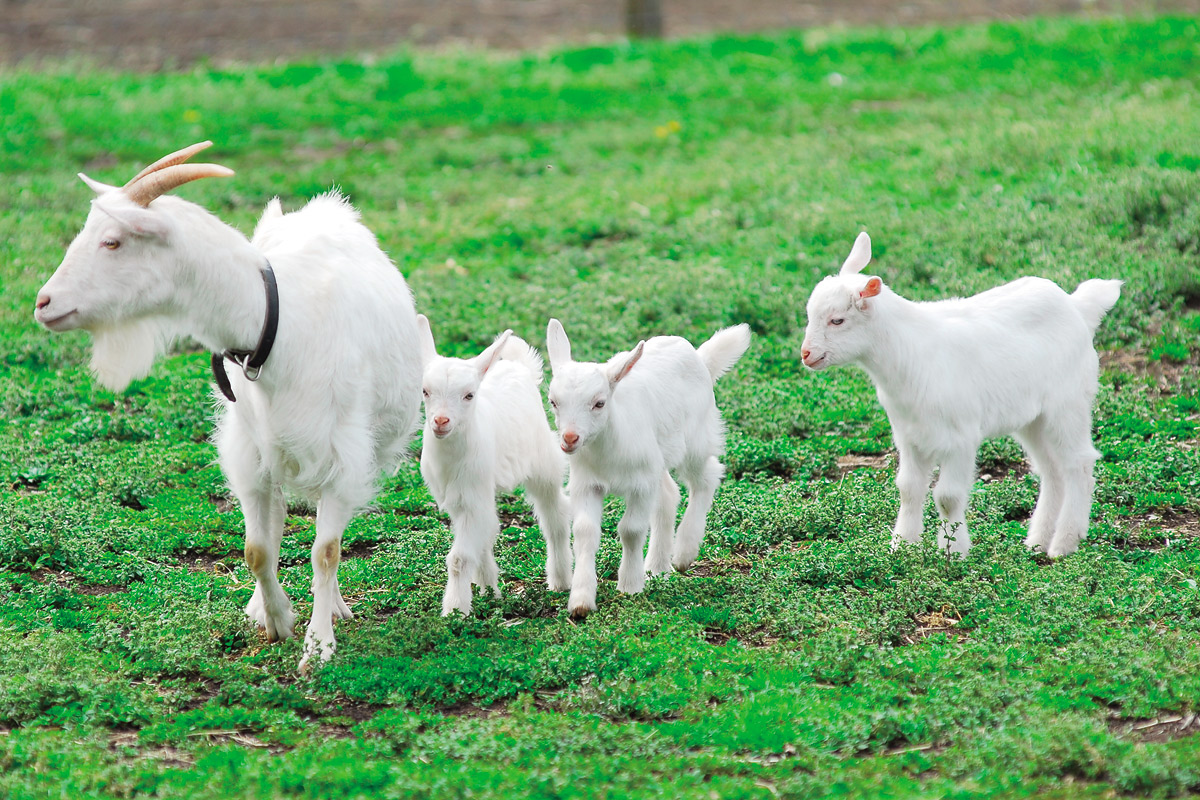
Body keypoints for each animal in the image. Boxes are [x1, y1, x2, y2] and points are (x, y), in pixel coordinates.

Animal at [34, 142, 422, 671]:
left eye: (112, 242)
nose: (44, 302)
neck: (275, 326)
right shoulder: (248, 451)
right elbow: (257, 548)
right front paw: (278, 619)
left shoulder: (343, 454)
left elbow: (326, 551)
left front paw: (318, 646)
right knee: (273, 522)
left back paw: (335, 607)